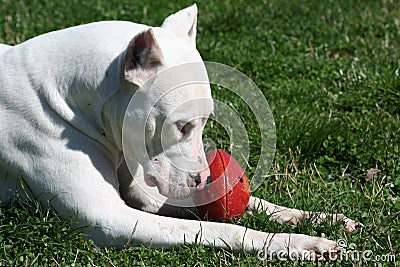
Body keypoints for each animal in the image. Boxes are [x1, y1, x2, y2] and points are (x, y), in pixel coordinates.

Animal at [0, 4, 360, 260]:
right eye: (181, 126)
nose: (203, 178)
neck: (71, 98)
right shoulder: (109, 218)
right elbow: (217, 229)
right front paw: (292, 243)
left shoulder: (146, 190)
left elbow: (249, 205)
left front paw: (312, 217)